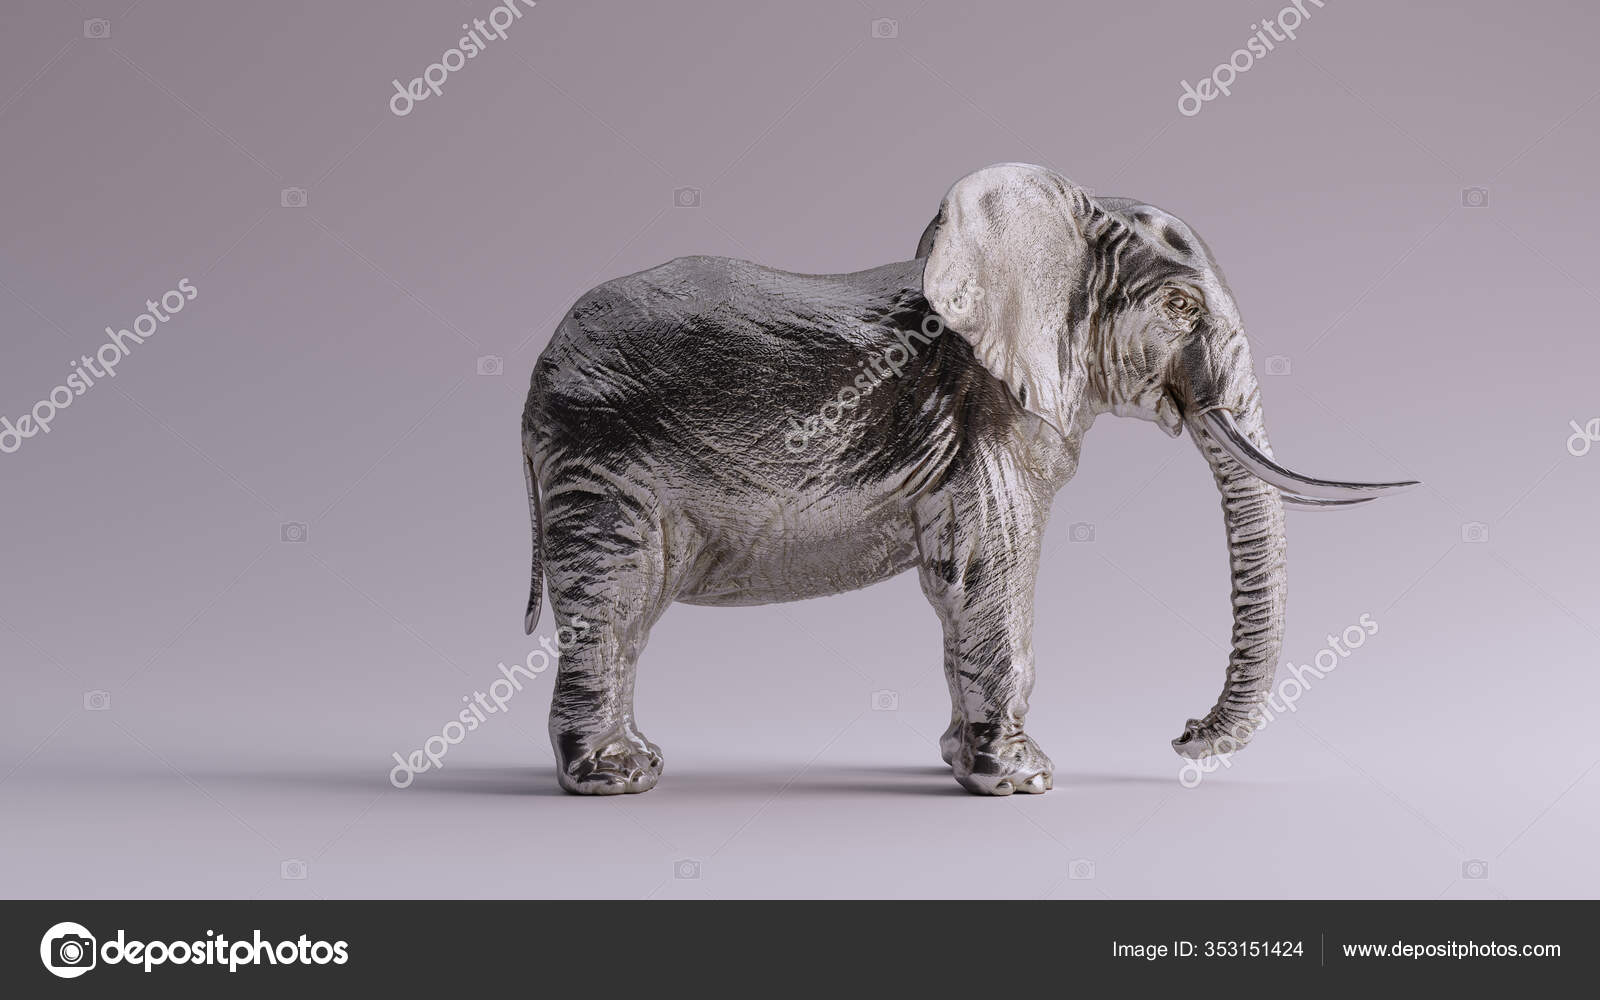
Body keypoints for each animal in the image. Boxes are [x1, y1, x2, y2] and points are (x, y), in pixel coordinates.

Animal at [520, 162, 1417, 796]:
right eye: (1182, 309)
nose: (1184, 733)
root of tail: (537, 373)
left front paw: (963, 762)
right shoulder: (982, 416)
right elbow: (989, 569)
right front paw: (1024, 781)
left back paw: (634, 763)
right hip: (602, 458)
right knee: (617, 600)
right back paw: (614, 779)